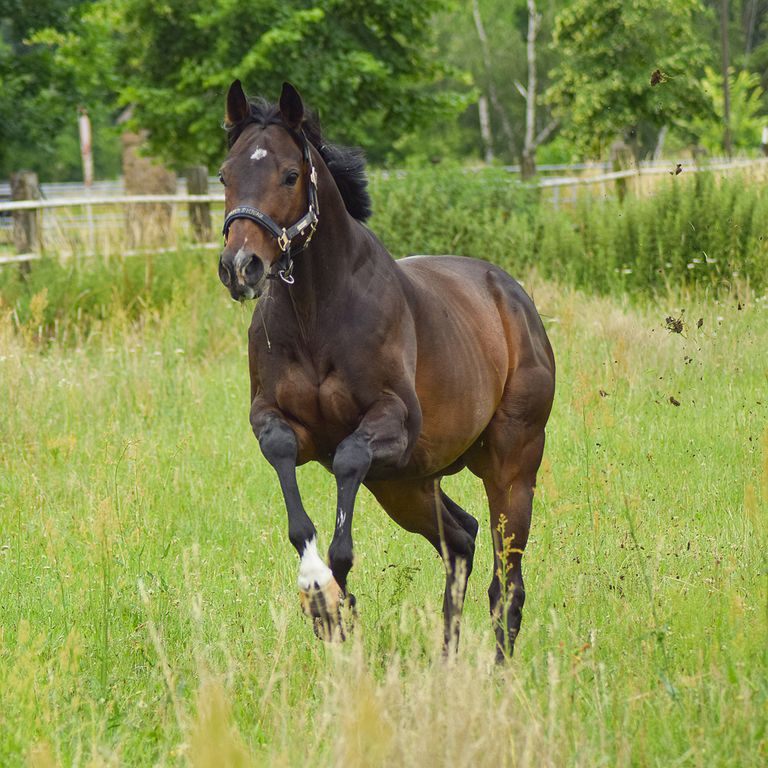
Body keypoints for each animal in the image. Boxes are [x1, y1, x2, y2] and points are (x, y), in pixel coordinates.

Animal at [219, 82, 556, 660]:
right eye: (224, 175)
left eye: (289, 175)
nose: (242, 268)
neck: (318, 313)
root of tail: (515, 299)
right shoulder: (276, 419)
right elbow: (285, 458)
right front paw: (320, 593)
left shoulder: (392, 423)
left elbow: (350, 461)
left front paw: (332, 589)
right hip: (406, 484)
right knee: (461, 541)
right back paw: (445, 662)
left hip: (510, 467)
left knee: (506, 582)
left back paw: (498, 671)